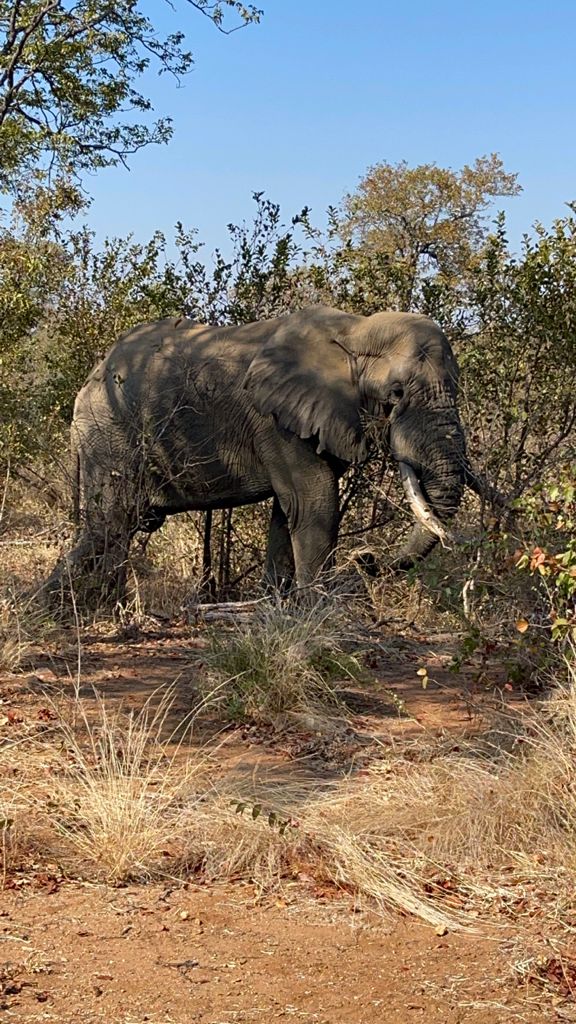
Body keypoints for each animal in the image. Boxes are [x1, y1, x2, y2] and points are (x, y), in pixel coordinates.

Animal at [48, 305, 473, 606]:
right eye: (396, 394)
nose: (365, 559)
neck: (356, 329)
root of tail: (88, 382)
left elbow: (289, 512)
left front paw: (278, 606)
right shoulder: (274, 420)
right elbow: (314, 504)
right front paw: (321, 614)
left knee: (118, 527)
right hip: (109, 433)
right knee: (110, 523)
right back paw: (56, 609)